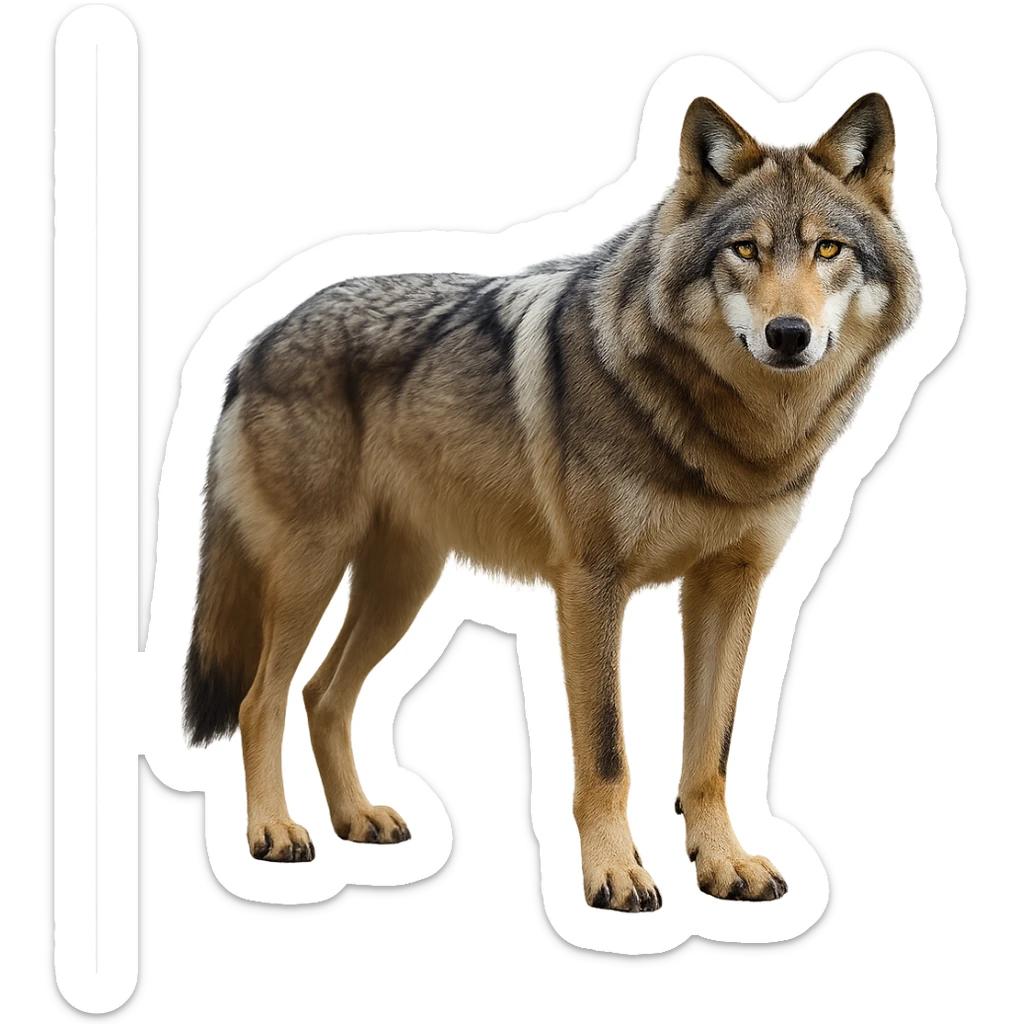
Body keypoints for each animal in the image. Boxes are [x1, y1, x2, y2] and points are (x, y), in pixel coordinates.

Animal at [184, 93, 919, 911]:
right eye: (745, 250)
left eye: (827, 250)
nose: (788, 335)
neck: (733, 440)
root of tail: (254, 340)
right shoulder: (591, 586)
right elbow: (606, 754)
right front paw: (614, 873)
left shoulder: (731, 587)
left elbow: (712, 753)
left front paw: (724, 863)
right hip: (313, 572)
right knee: (261, 699)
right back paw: (274, 831)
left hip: (401, 589)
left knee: (323, 695)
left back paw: (358, 819)